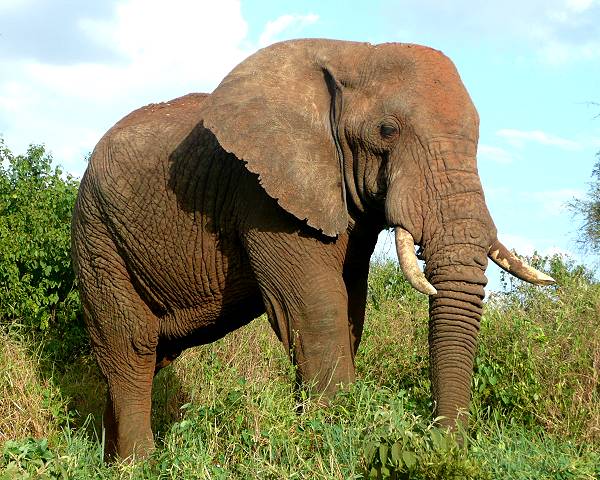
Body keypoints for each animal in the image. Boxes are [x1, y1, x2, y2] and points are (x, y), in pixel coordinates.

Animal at [70, 38, 552, 462]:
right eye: (387, 131)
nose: (445, 444)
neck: (352, 54)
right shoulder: (263, 194)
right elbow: (317, 309)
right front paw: (335, 435)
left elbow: (351, 308)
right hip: (97, 235)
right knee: (130, 346)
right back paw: (140, 464)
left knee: (150, 356)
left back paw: (111, 460)